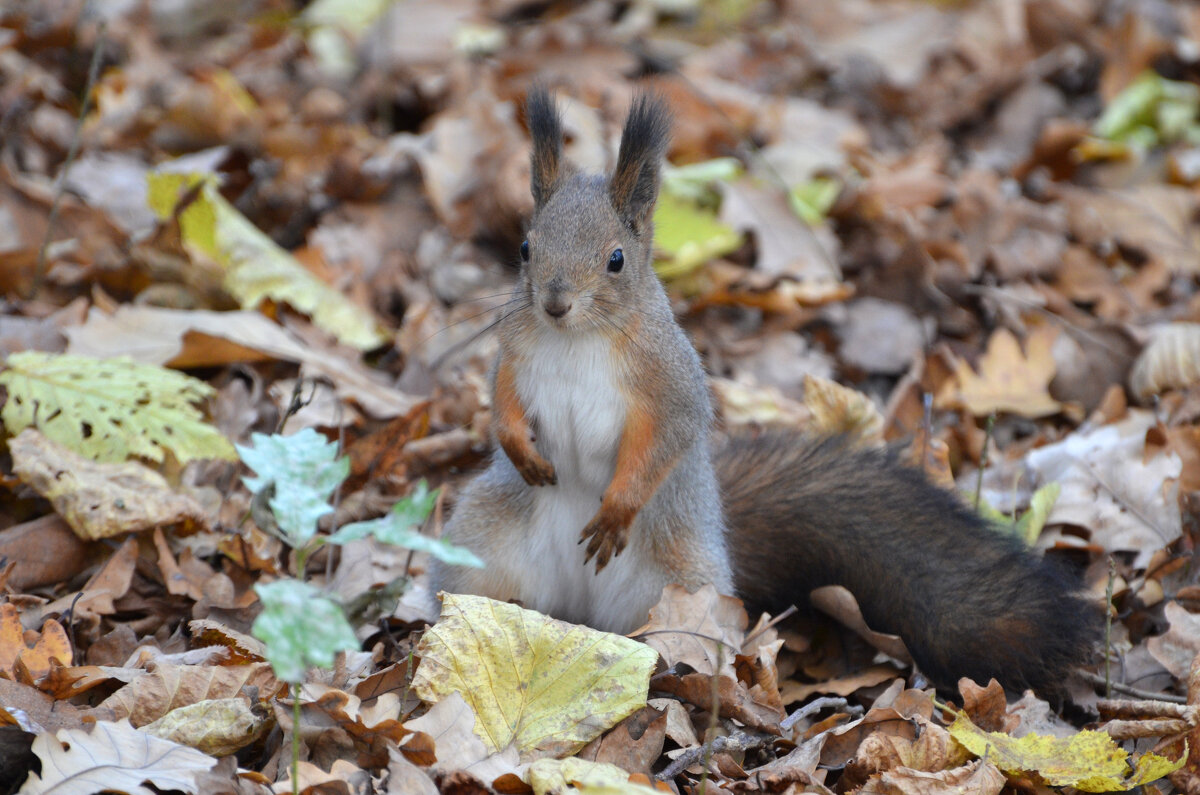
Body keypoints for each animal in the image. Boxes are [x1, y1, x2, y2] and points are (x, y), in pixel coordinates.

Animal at [427, 88, 1099, 696]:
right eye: (525, 248)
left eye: (616, 259)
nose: (555, 303)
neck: (577, 338)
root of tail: (578, 613)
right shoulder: (516, 349)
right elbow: (502, 398)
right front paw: (518, 445)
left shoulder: (670, 382)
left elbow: (667, 437)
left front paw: (618, 507)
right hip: (483, 547)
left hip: (682, 584)